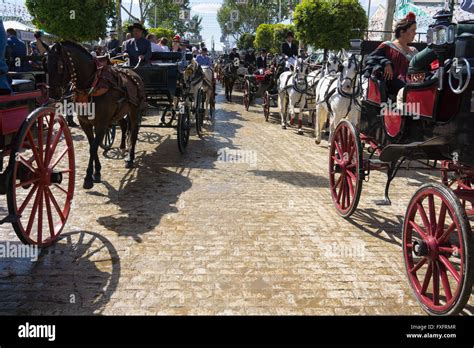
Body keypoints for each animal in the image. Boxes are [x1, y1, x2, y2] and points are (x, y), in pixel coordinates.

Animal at [48, 41, 145, 189]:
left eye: (59, 66)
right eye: (44, 64)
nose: (52, 94)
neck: (92, 85)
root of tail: (133, 72)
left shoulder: (102, 123)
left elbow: (93, 147)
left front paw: (89, 177)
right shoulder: (85, 123)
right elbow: (91, 145)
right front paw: (97, 172)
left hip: (134, 110)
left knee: (133, 133)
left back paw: (130, 158)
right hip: (120, 112)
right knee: (123, 126)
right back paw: (123, 148)